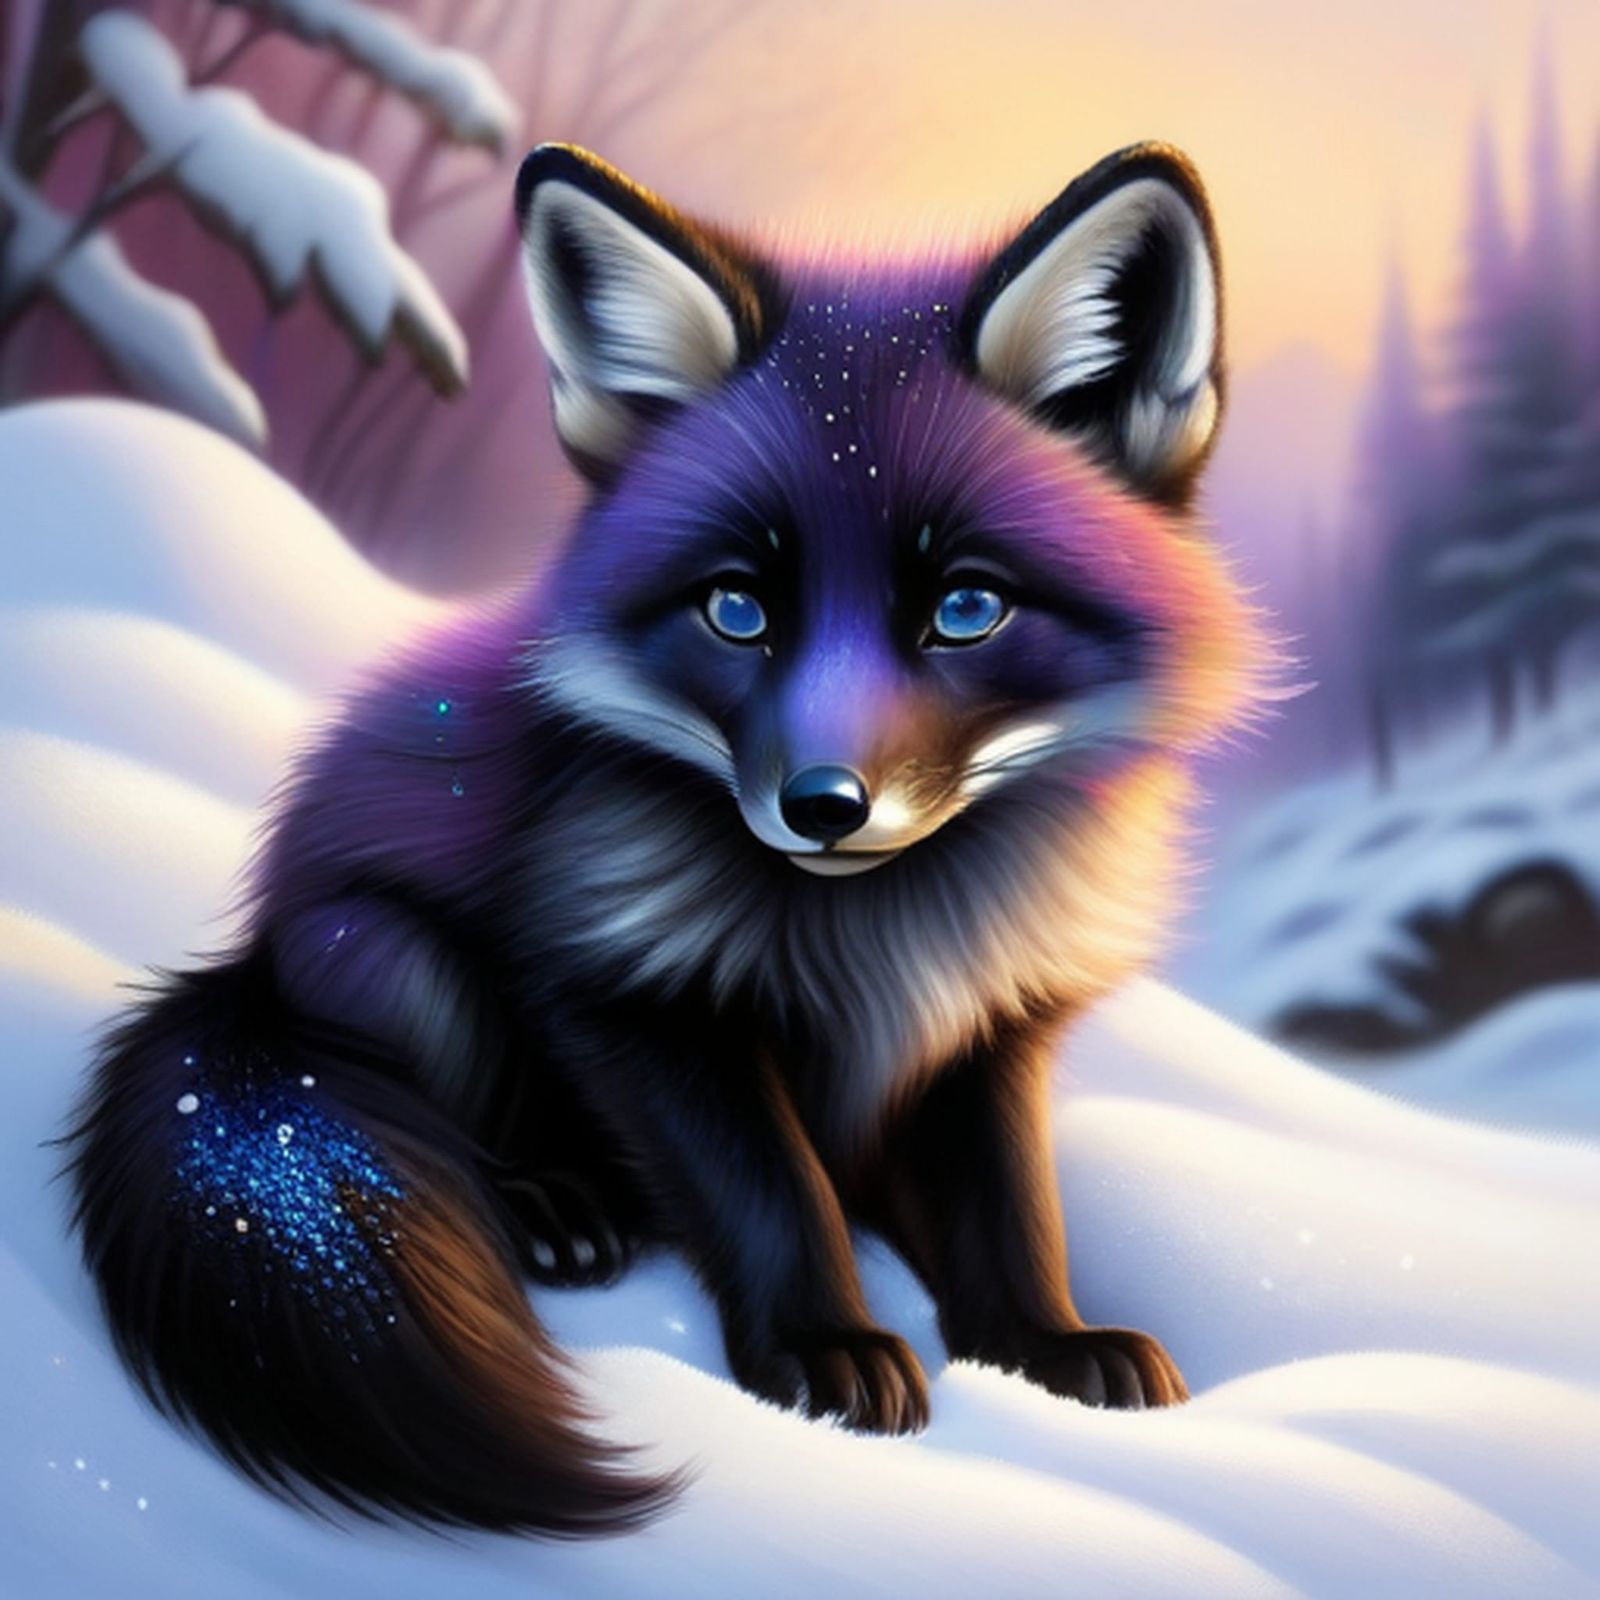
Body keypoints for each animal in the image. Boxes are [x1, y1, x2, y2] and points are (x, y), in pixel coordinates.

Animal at [67, 141, 1265, 1536]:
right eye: (736, 608)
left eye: (966, 607)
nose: (822, 805)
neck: (889, 945)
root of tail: (244, 955)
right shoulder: (633, 998)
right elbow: (771, 1195)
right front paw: (823, 1349)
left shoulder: (991, 1027)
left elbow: (1008, 1207)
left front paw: (1039, 1348)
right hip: (385, 954)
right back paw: (551, 1205)